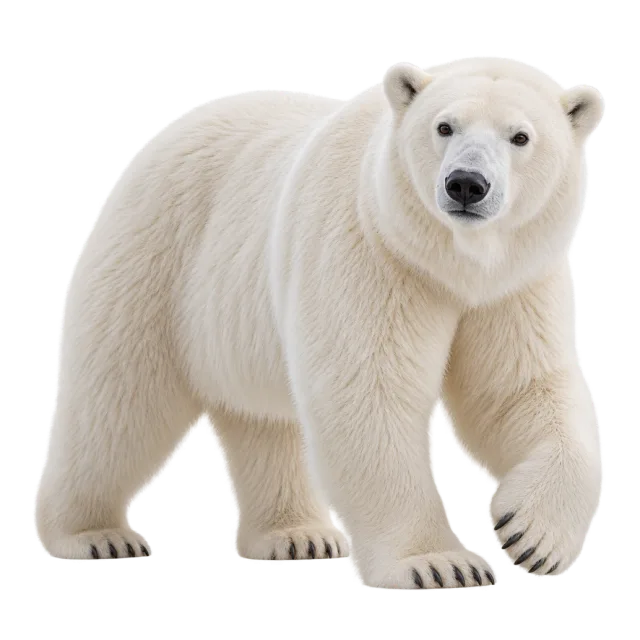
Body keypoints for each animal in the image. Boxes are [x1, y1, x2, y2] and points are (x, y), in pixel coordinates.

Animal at [34, 57, 604, 590]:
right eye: (444, 126)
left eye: (520, 136)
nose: (466, 183)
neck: (448, 263)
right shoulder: (369, 248)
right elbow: (371, 393)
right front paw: (440, 564)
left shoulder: (513, 284)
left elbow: (517, 392)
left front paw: (532, 535)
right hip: (157, 256)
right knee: (120, 403)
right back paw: (96, 536)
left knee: (261, 418)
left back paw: (296, 535)